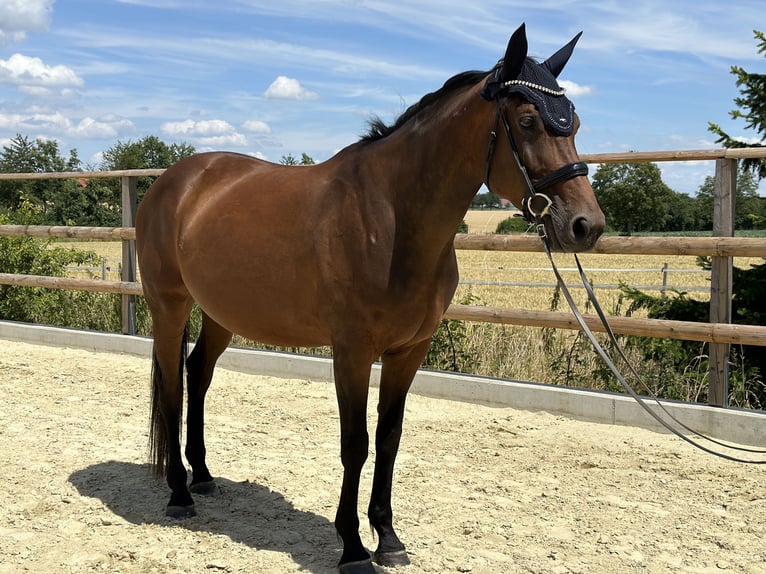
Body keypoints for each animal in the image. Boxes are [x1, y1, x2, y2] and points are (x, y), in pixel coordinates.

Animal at [136, 23, 608, 574]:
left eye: (574, 121)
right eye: (529, 121)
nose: (586, 225)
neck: (391, 218)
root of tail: (173, 181)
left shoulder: (409, 352)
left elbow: (389, 439)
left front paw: (387, 536)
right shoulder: (353, 352)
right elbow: (355, 444)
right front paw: (353, 546)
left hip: (221, 313)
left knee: (198, 373)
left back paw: (205, 475)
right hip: (170, 305)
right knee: (172, 384)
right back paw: (179, 494)